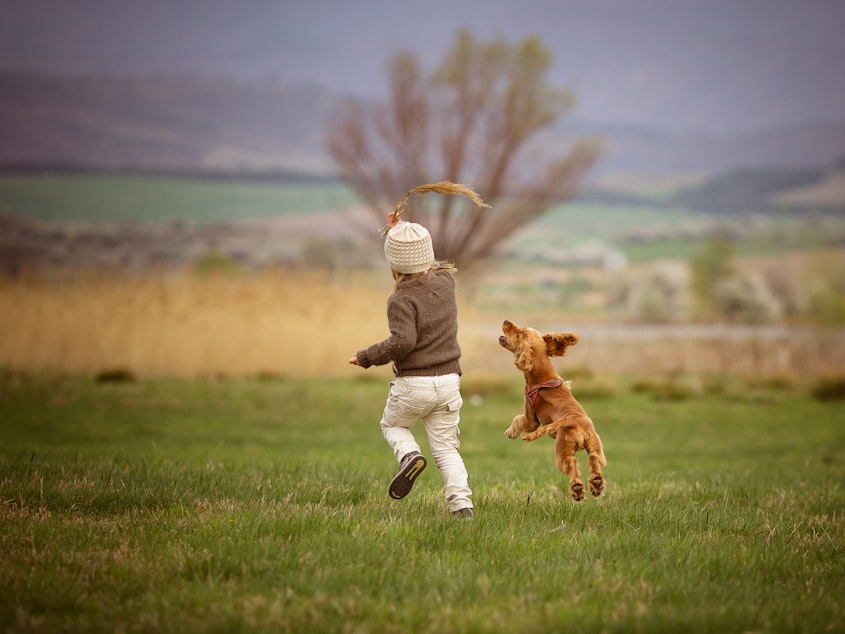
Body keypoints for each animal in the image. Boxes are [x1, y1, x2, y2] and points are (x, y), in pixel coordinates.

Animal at [498, 318, 604, 502]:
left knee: (571, 464)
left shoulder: (531, 419)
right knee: (594, 459)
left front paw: (509, 432)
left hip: (562, 449)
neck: (542, 374)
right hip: (595, 444)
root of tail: (574, 420)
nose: (505, 320)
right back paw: (597, 484)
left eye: (518, 334)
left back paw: (577, 489)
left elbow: (517, 419)